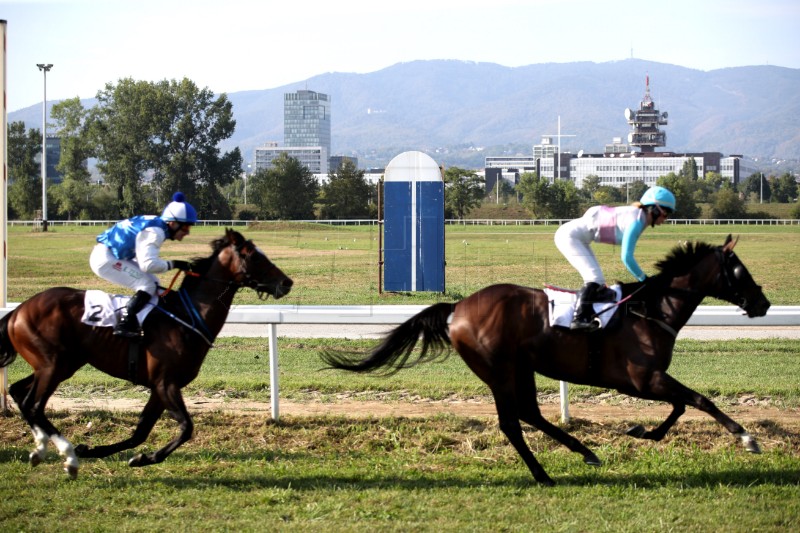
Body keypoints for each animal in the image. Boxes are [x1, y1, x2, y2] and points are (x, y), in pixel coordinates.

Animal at [0, 229, 294, 478]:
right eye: (254, 256)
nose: (286, 282)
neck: (187, 316)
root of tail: (18, 310)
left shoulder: (159, 387)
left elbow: (140, 433)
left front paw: (122, 455)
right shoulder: (166, 383)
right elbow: (186, 428)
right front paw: (139, 456)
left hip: (59, 364)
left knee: (19, 394)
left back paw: (42, 449)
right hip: (54, 365)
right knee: (34, 405)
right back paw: (68, 455)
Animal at [322, 235, 772, 484]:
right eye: (739, 270)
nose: (763, 303)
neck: (651, 310)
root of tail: (457, 308)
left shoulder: (649, 380)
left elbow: (682, 404)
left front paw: (643, 431)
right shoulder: (642, 379)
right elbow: (697, 400)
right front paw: (746, 437)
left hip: (521, 367)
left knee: (529, 414)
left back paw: (584, 451)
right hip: (498, 369)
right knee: (511, 422)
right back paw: (543, 473)